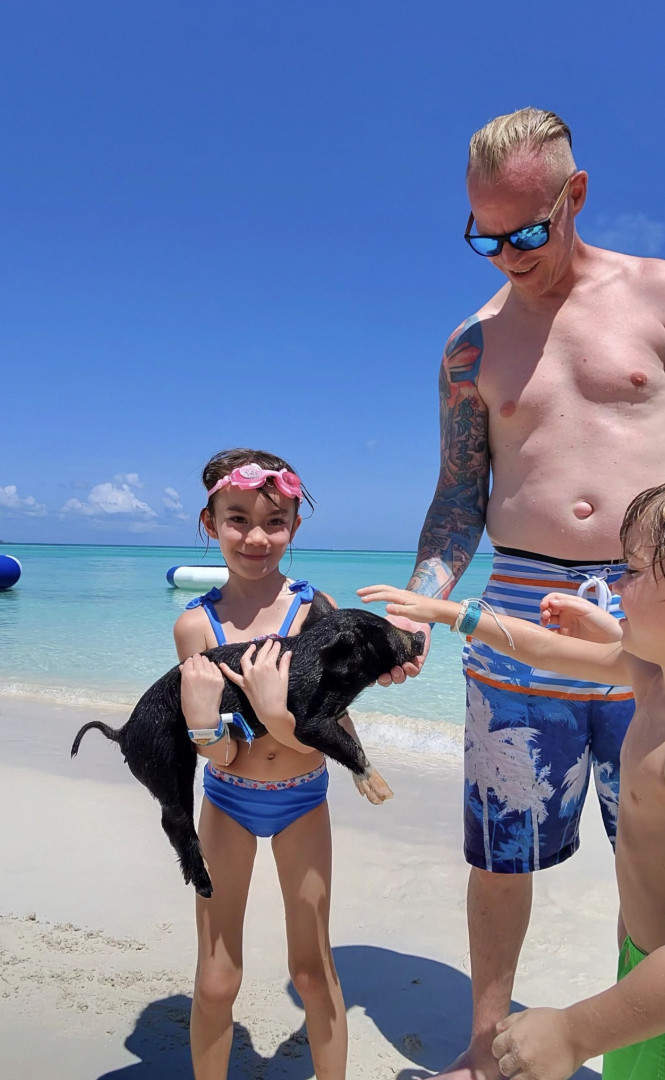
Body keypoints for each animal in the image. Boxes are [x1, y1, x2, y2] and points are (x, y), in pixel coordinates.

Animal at [71, 603, 425, 897]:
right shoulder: (306, 719)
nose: (420, 635)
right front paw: (385, 794)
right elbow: (345, 744)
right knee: (173, 820)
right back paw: (207, 885)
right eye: (380, 630)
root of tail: (123, 730)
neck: (326, 669)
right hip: (162, 758)